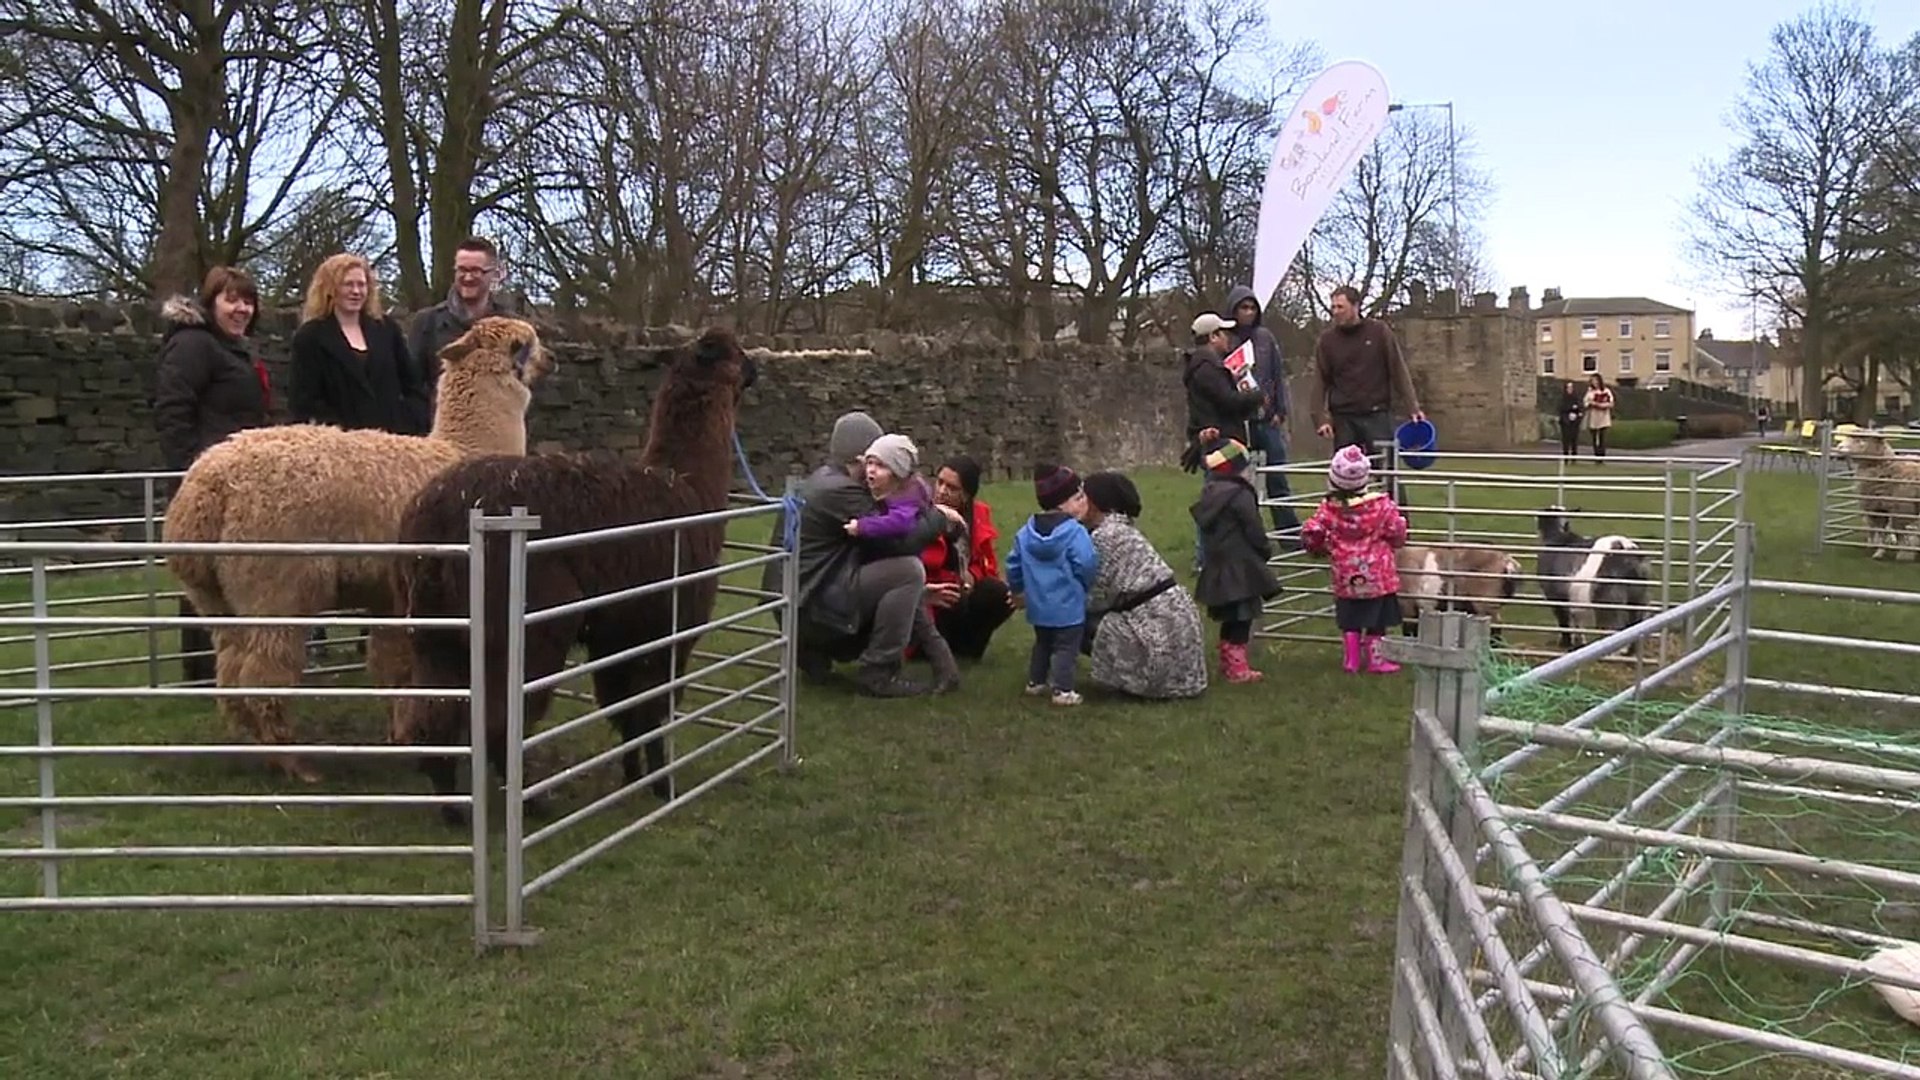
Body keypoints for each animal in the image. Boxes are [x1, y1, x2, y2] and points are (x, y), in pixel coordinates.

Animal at [1528, 507, 1651, 653]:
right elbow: (1577, 621)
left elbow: (1564, 622)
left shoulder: (1555, 598)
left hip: (1610, 598)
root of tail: (1626, 549)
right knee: (1635, 622)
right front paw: (1578, 644)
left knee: (1615, 625)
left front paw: (1566, 643)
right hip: (1637, 596)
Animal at [1827, 428, 1920, 557]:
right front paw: (1880, 552)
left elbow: (1899, 531)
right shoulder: (1878, 509)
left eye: (1862, 439)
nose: (1839, 447)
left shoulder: (1901, 509)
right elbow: (1881, 531)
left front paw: (1902, 553)